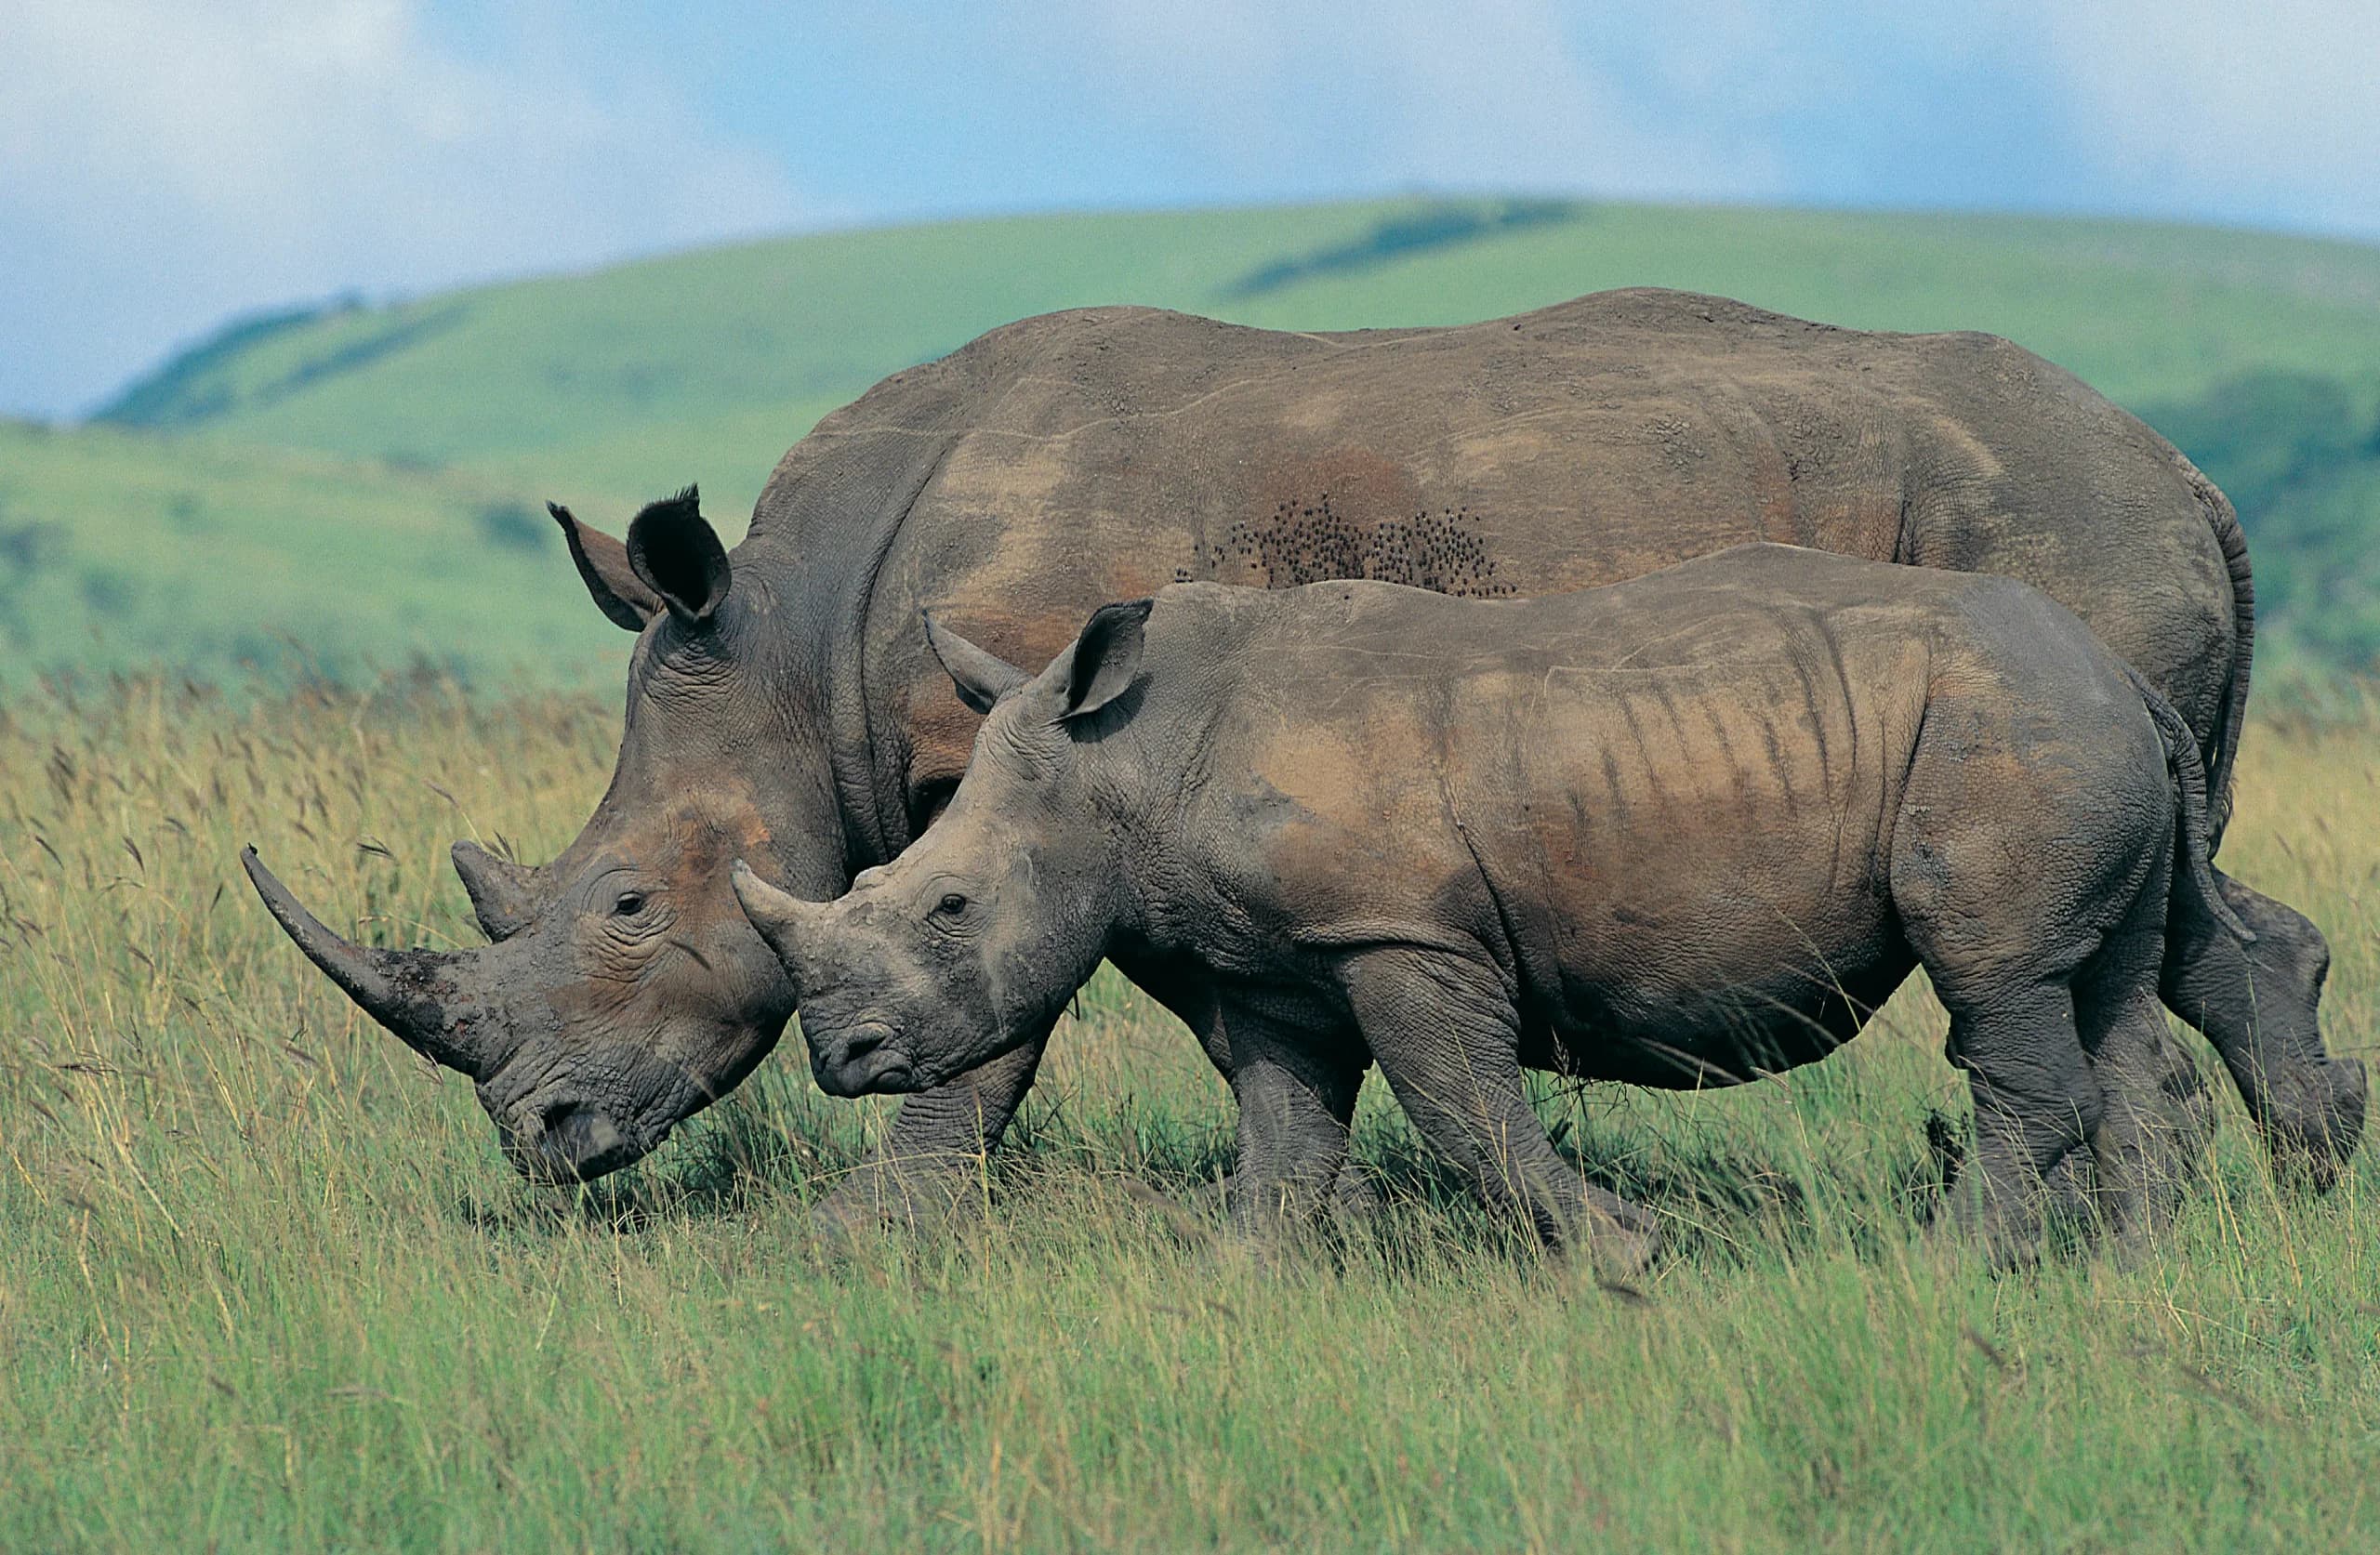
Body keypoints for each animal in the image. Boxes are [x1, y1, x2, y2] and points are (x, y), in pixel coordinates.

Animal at [729, 547, 2307, 1261]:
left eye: (948, 905)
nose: (845, 1060)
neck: (1125, 756)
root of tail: (2124, 673)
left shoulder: (1400, 931)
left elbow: (1461, 1107)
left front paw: (1625, 1251)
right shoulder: (1278, 959)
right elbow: (1284, 1129)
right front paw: (1241, 1279)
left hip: (2010, 734)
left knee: (1999, 985)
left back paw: (1951, 1263)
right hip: (2063, 733)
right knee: (2100, 990)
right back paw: (2127, 1268)